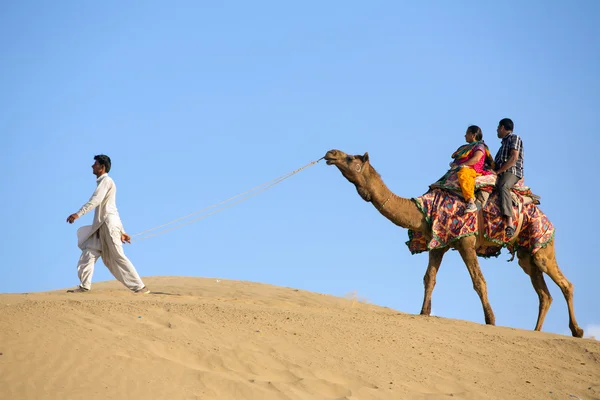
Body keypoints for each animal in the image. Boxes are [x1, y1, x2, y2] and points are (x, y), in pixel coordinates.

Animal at [326, 149, 584, 338]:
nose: (331, 153)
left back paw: (577, 331)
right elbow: (429, 279)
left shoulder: (465, 241)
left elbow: (479, 281)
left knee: (565, 284)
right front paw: (424, 312)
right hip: (526, 253)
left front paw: (491, 320)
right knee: (544, 293)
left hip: (542, 245)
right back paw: (537, 331)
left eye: (350, 158)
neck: (424, 209)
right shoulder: (439, 242)